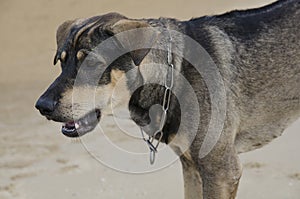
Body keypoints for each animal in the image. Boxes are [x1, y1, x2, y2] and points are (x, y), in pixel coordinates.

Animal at [35, 0, 300, 198]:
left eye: (92, 63)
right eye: (61, 61)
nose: (41, 106)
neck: (175, 74)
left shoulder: (221, 171)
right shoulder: (191, 167)